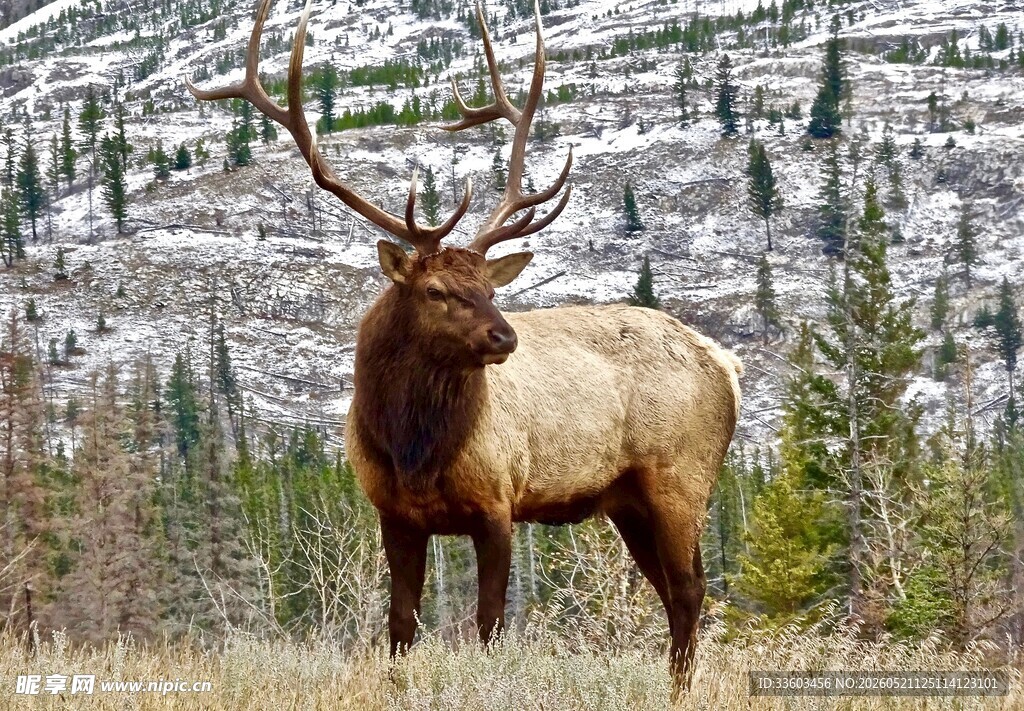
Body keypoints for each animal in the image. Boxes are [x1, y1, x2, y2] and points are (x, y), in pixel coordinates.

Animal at [187, 0, 742, 693]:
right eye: (436, 289)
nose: (504, 336)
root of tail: (727, 364)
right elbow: (400, 623)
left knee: (690, 589)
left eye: (489, 287)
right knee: (673, 590)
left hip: (681, 477)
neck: (414, 448)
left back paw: (679, 687)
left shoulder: (498, 502)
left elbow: (489, 623)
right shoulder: (394, 513)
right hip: (629, 501)